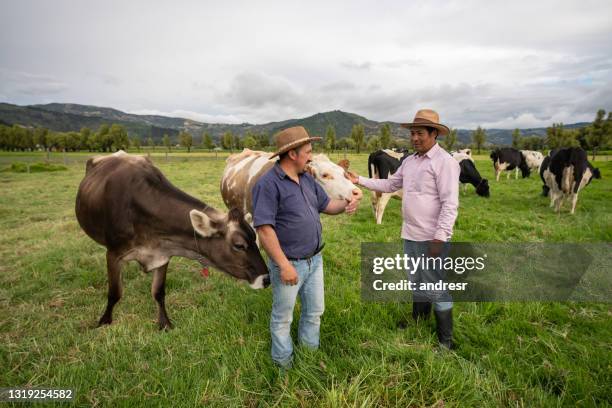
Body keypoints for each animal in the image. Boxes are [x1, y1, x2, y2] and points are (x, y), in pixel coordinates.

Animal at [76, 151, 268, 330]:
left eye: (255, 238)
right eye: (239, 245)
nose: (266, 279)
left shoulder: (163, 254)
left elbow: (159, 292)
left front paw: (164, 324)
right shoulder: (114, 253)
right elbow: (114, 293)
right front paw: (104, 322)